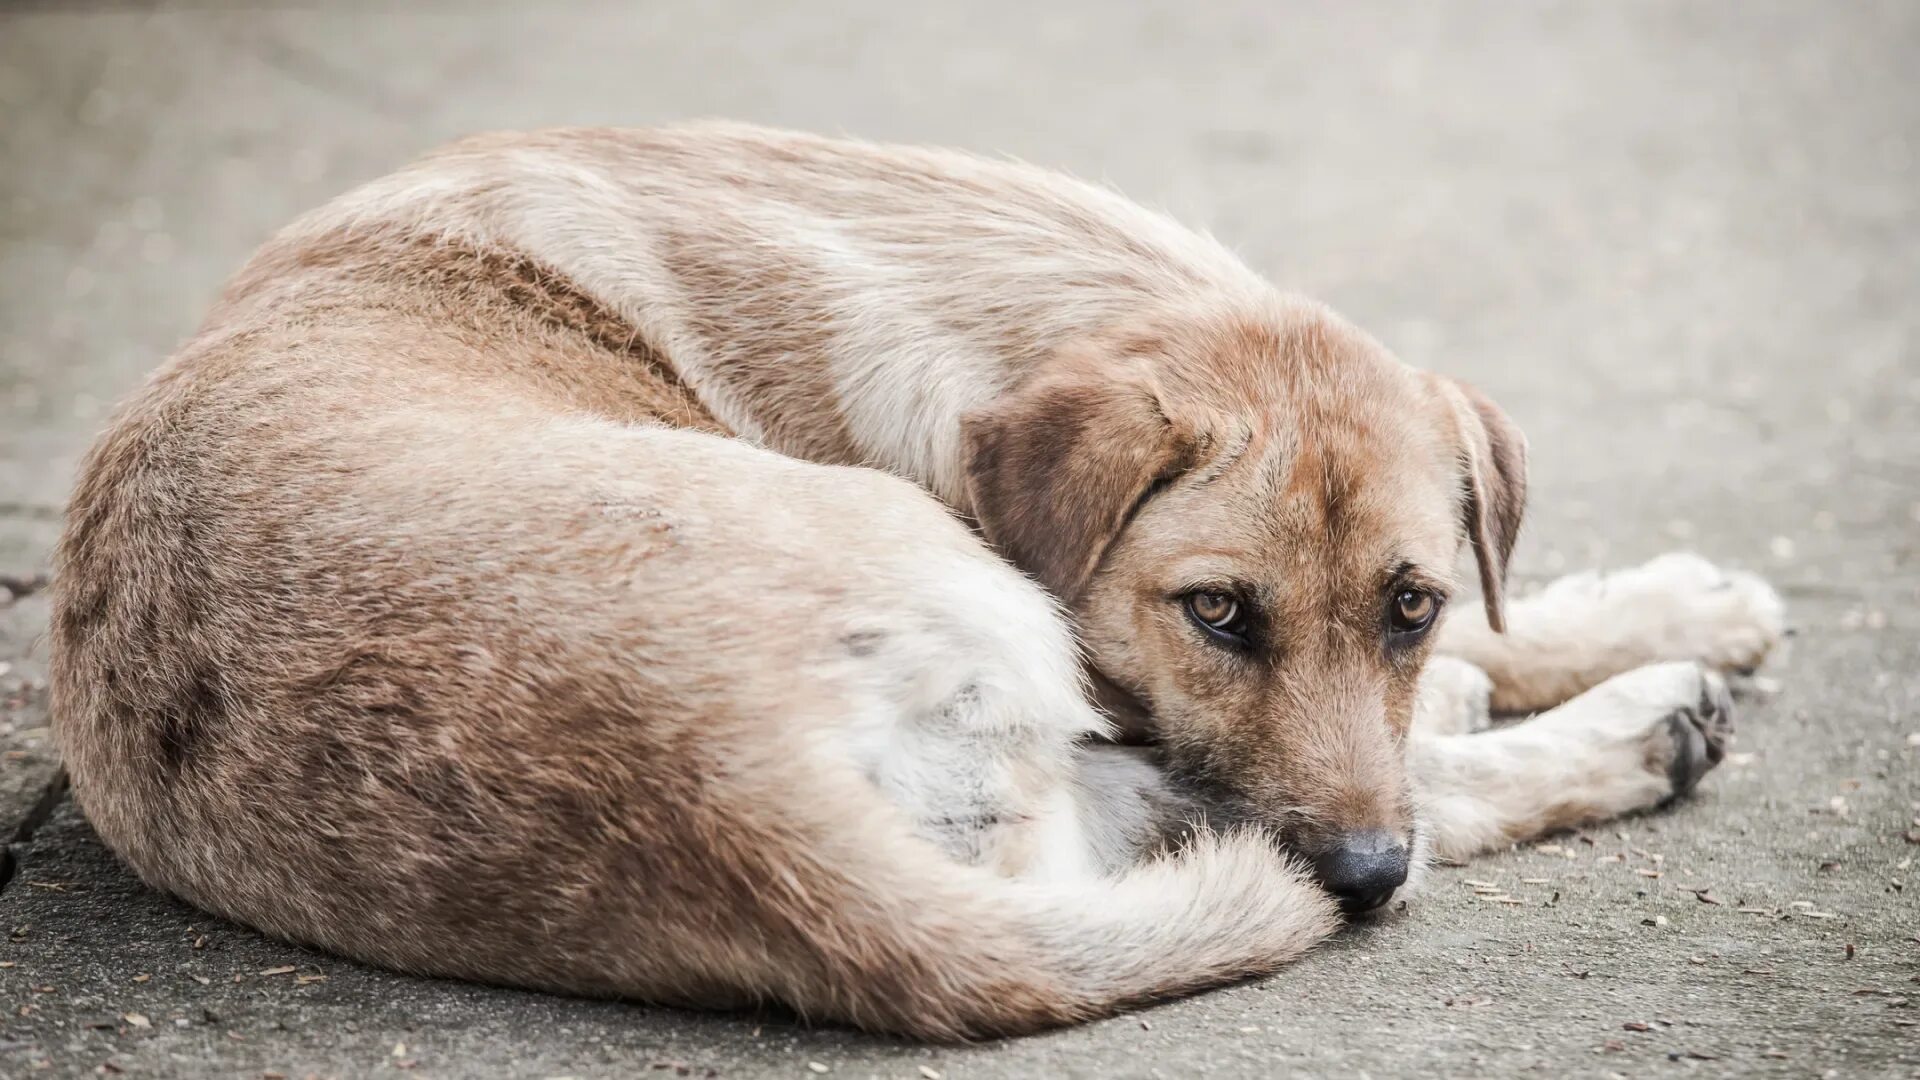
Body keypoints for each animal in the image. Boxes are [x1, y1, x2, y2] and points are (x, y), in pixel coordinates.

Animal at [48, 119, 1781, 1037]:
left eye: (1408, 603)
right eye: (1218, 613)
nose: (1359, 874)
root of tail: (725, 796)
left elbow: (1495, 627)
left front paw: (1649, 609)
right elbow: (1398, 765)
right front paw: (1601, 671)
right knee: (1349, 815)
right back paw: (1627, 733)